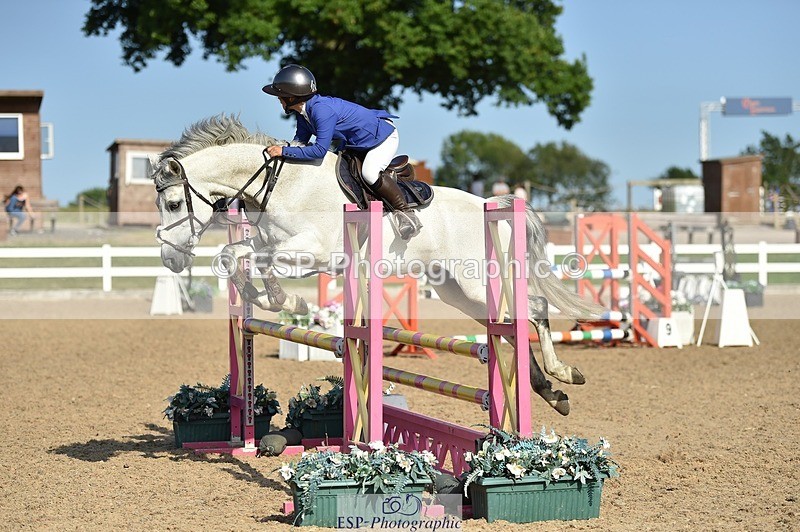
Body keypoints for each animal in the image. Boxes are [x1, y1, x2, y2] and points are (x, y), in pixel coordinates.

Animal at [151, 114, 601, 416]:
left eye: (173, 203)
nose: (171, 259)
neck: (280, 185)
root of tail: (496, 206)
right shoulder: (275, 245)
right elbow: (237, 257)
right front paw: (278, 300)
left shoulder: (315, 252)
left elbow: (250, 258)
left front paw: (287, 302)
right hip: (458, 292)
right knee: (507, 326)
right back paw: (554, 393)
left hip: (479, 281)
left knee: (533, 311)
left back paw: (564, 375)